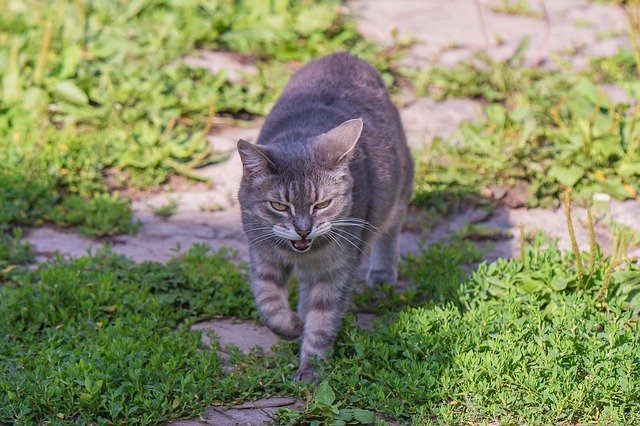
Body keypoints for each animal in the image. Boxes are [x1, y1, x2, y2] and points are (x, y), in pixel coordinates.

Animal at [238, 51, 412, 382]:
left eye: (322, 204)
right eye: (279, 206)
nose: (303, 230)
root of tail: (344, 54)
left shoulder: (337, 270)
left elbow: (322, 321)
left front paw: (311, 369)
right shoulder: (262, 254)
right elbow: (269, 304)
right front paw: (291, 325)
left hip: (399, 191)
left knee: (392, 229)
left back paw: (382, 274)